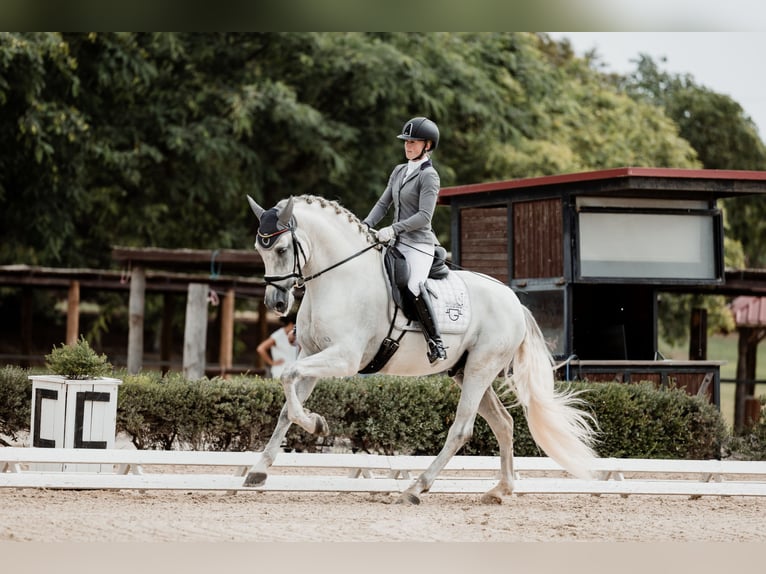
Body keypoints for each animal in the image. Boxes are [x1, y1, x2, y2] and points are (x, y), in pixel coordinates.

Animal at [246, 195, 600, 504]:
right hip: (465, 371)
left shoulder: (343, 358)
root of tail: (513, 301)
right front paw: (258, 471)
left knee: (462, 429)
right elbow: (286, 405)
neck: (339, 278)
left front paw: (316, 424)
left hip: (480, 369)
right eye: (259, 249)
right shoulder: (310, 354)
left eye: (281, 249)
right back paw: (501, 490)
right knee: (503, 423)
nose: (276, 304)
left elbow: (287, 377)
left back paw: (415, 488)